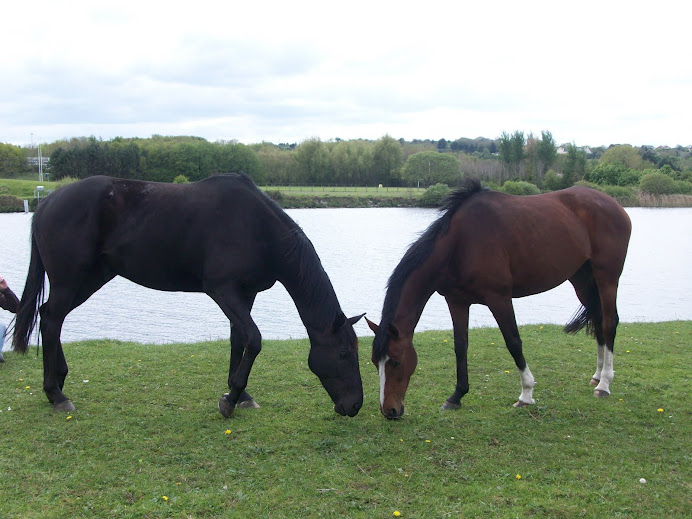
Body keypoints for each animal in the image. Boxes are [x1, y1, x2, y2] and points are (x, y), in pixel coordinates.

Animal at [13, 174, 364, 418]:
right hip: (70, 281)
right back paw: (56, 395)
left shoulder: (244, 294)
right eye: (344, 354)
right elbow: (254, 339)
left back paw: (58, 382)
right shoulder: (223, 290)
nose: (355, 405)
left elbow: (240, 340)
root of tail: (47, 203)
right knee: (52, 319)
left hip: (89, 279)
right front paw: (230, 401)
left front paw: (240, 395)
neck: (256, 226)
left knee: (51, 317)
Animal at [368, 178, 632, 418]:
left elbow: (513, 342)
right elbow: (460, 345)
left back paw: (604, 384)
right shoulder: (457, 301)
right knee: (598, 319)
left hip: (606, 277)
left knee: (609, 323)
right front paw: (457, 395)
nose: (389, 411)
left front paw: (526, 393)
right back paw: (597, 375)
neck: (460, 245)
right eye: (373, 362)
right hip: (582, 279)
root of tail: (615, 205)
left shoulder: (500, 299)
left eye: (396, 361)